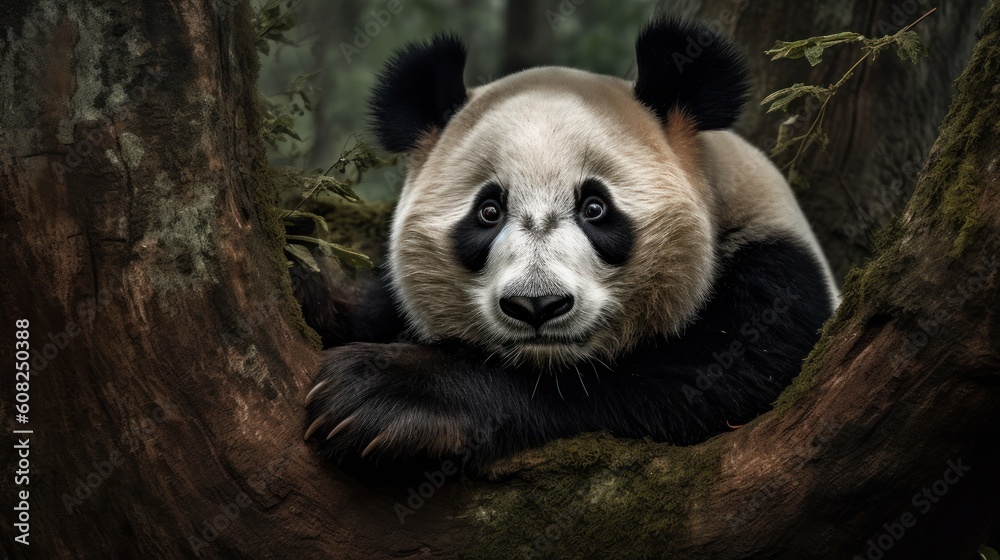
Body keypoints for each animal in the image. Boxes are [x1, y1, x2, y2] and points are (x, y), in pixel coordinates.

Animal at [296, 17, 838, 472]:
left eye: (595, 208)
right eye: (488, 212)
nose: (536, 305)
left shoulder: (774, 282)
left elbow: (690, 382)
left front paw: (385, 394)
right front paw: (307, 279)